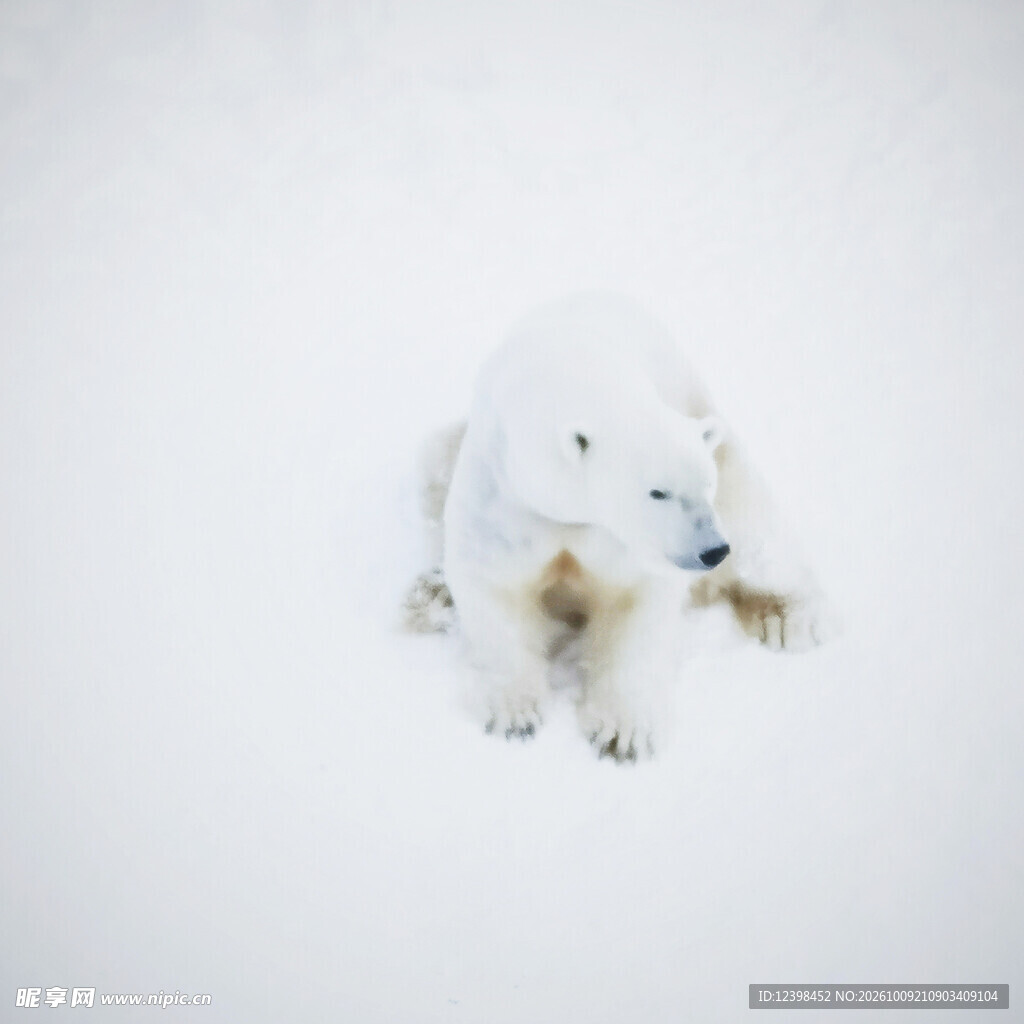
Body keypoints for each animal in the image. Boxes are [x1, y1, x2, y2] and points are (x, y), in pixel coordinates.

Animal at [405, 294, 834, 762]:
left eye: (705, 483)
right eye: (657, 492)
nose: (712, 551)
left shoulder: (631, 539)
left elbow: (637, 604)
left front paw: (623, 734)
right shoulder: (506, 497)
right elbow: (493, 585)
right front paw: (515, 715)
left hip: (727, 454)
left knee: (758, 533)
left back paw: (787, 619)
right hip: (448, 449)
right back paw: (429, 597)